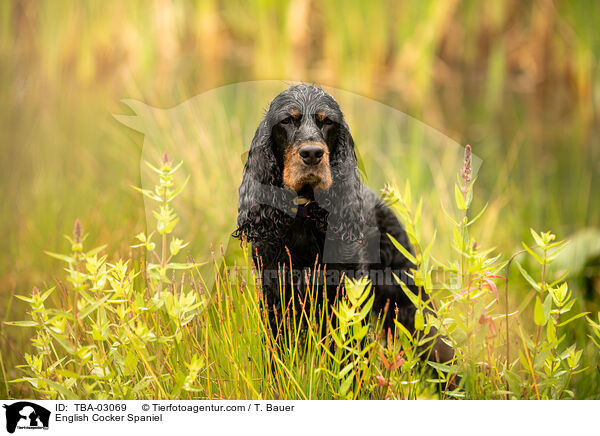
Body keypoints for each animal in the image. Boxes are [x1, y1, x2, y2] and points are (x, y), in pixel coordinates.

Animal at [232, 84, 452, 362]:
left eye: (327, 122)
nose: (312, 154)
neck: (304, 216)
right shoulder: (275, 296)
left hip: (406, 298)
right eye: (287, 120)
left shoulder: (346, 295)